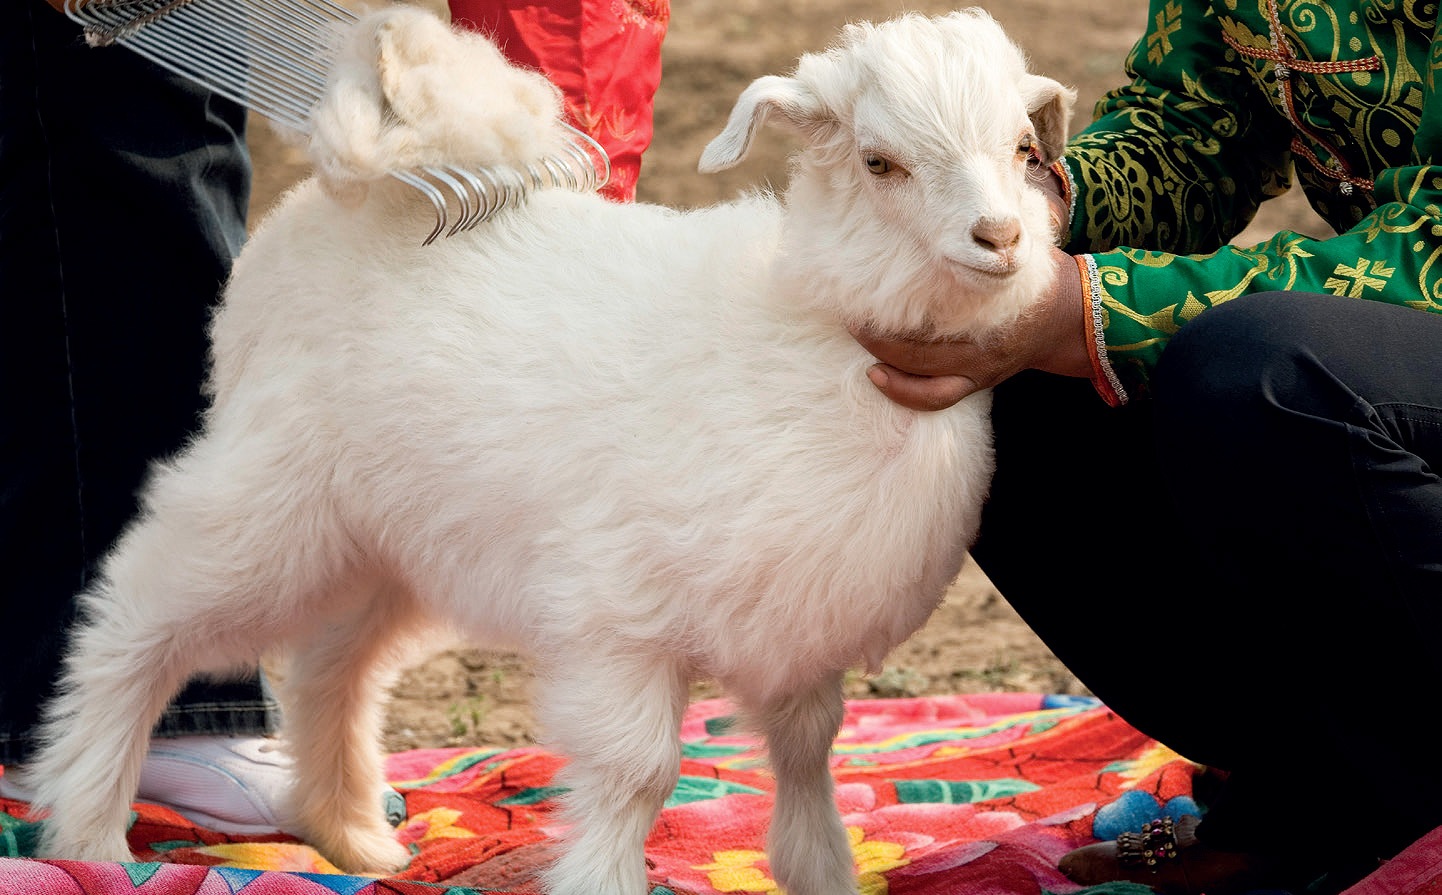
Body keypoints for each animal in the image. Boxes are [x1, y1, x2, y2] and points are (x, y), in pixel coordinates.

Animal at [25, 6, 1074, 895]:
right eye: (878, 161)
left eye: (1024, 150)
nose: (1000, 238)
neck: (798, 334)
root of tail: (344, 199)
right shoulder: (619, 617)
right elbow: (639, 771)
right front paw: (603, 877)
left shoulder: (798, 629)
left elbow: (810, 747)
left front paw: (820, 872)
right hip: (267, 505)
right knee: (134, 619)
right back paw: (89, 828)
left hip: (392, 540)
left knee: (333, 667)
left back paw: (351, 837)